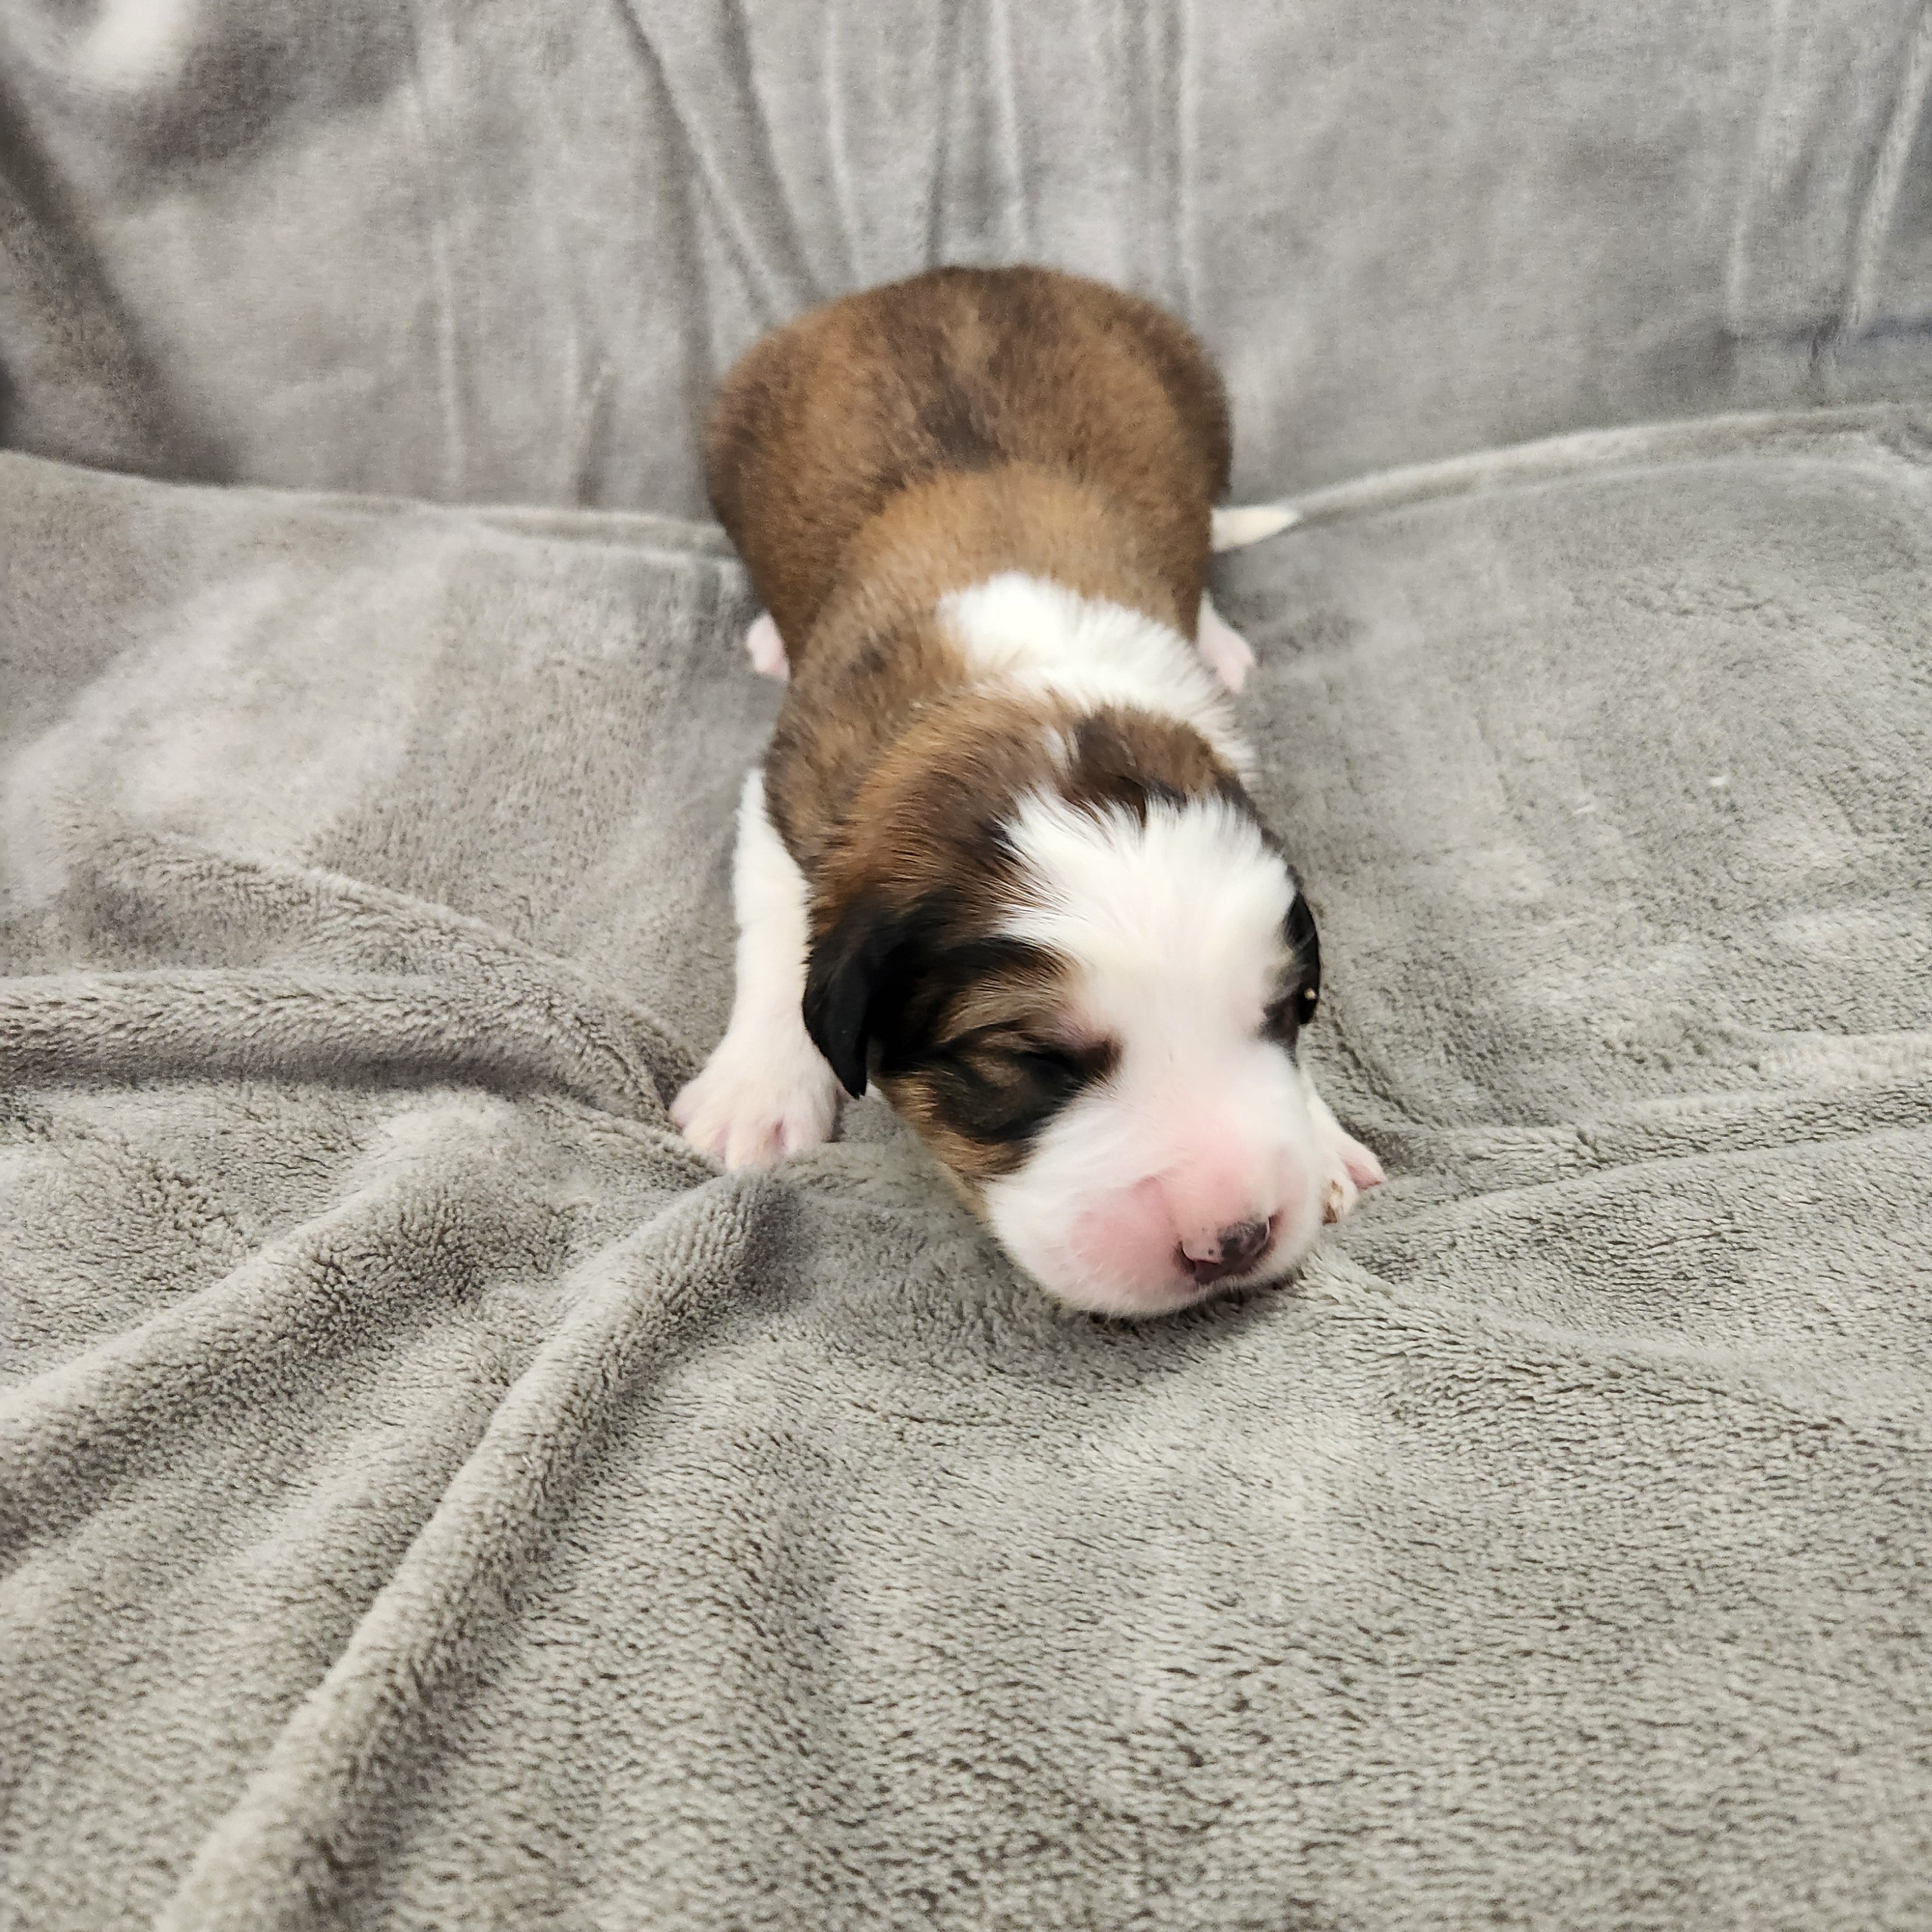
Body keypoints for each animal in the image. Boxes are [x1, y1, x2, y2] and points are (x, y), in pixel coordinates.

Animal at [672, 264, 1383, 1321]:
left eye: (1286, 1013)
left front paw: (1322, 1134)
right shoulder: (787, 792)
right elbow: (776, 936)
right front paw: (757, 1095)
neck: (1025, 690)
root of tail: (949, 272)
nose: (1235, 1239)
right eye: (1034, 1061)